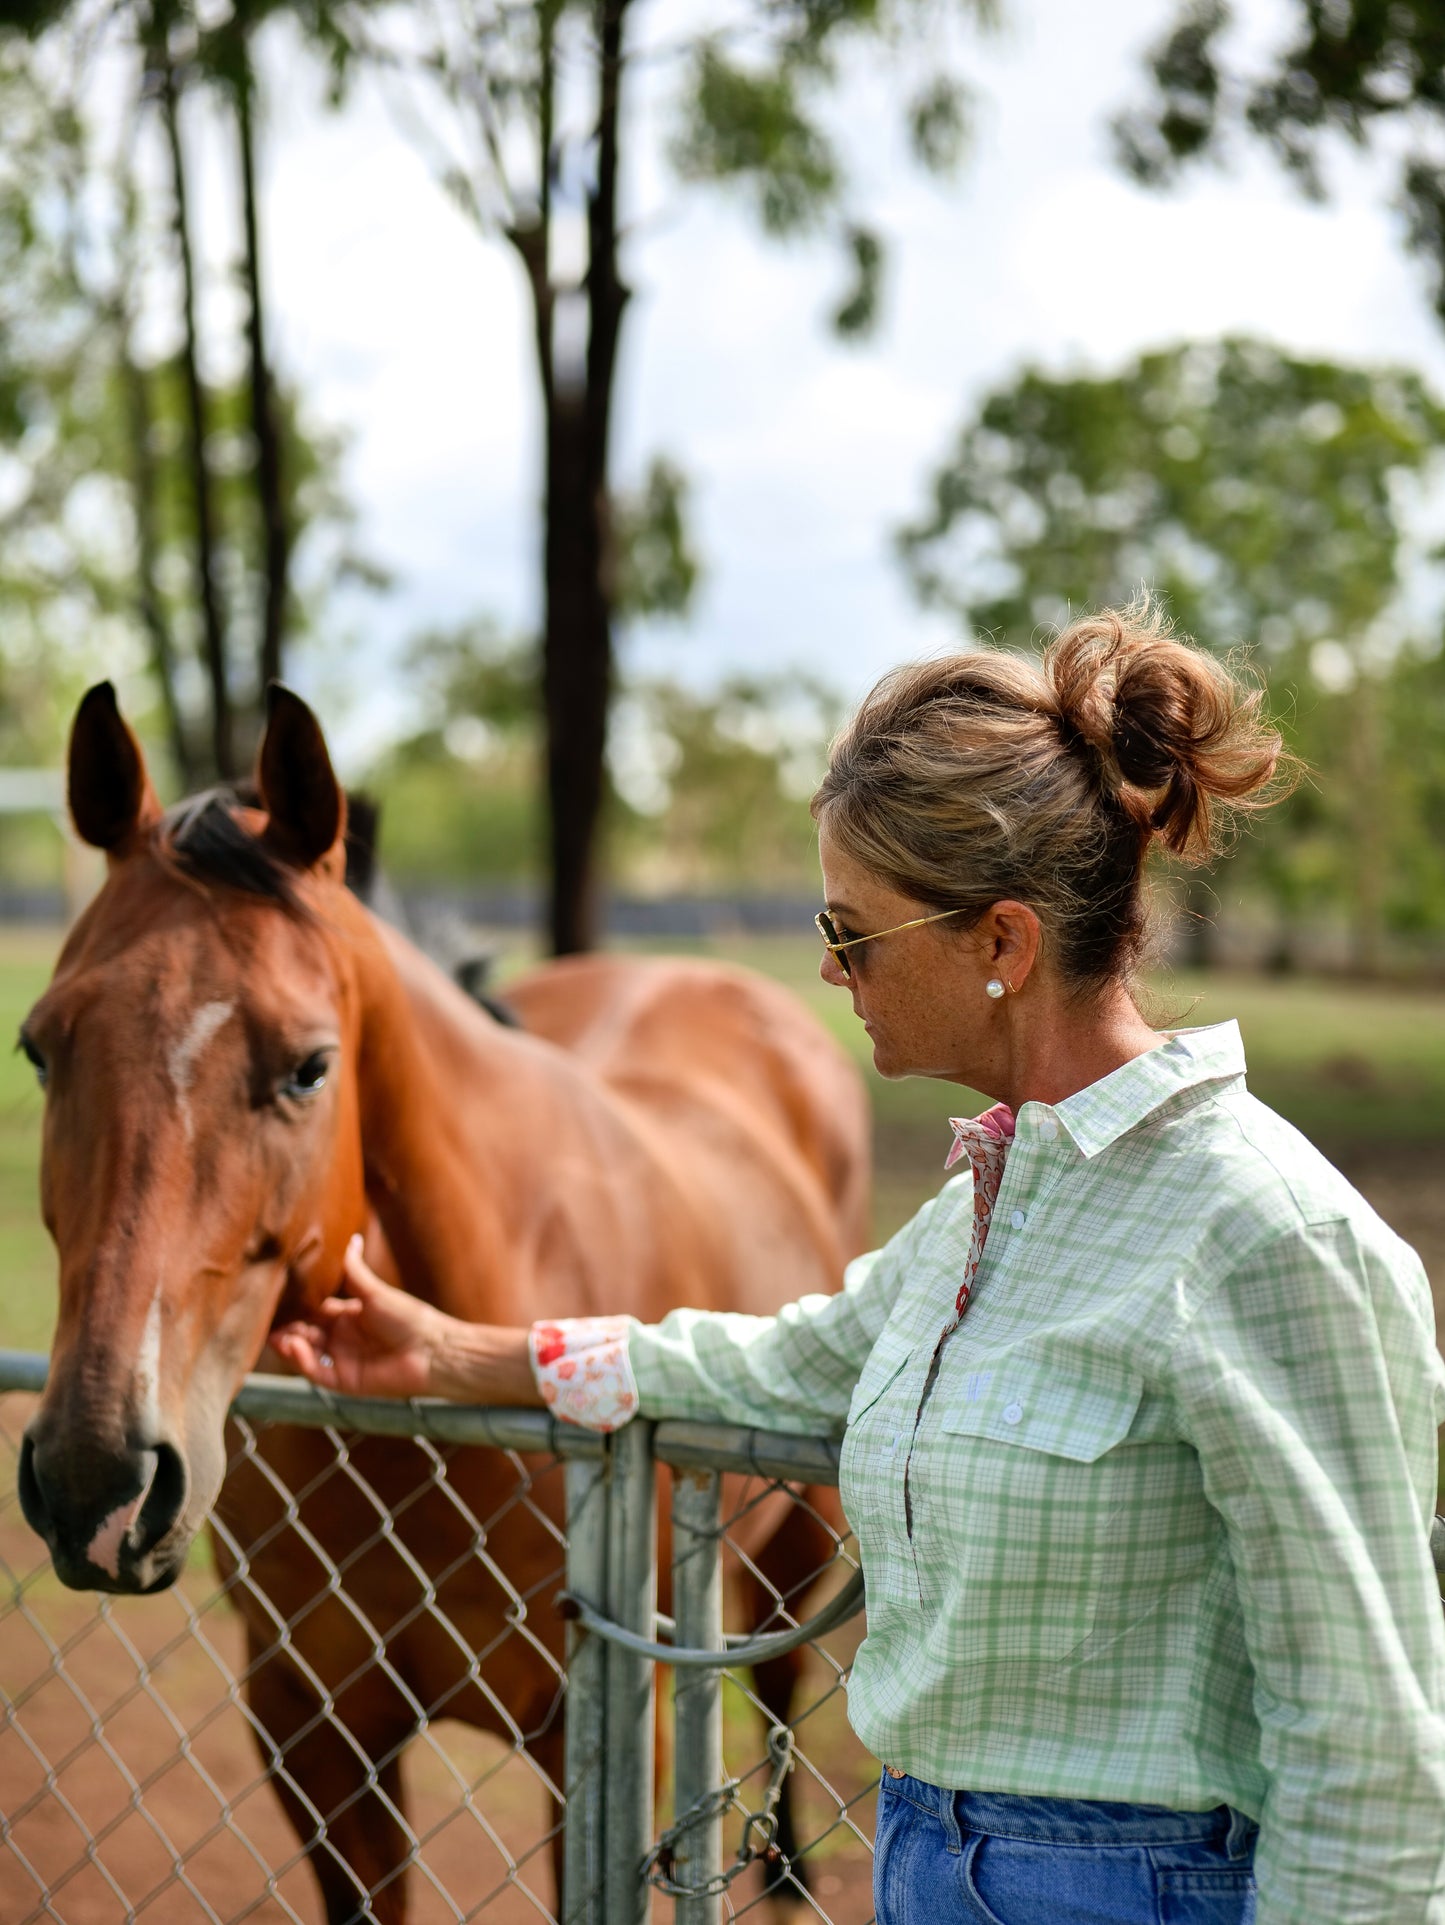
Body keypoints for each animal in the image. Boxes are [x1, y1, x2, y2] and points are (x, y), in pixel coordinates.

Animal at [14, 685, 869, 1917]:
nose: (97, 1477)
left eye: (310, 1066)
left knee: (784, 1672)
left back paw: (792, 1864)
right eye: (40, 1050)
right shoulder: (313, 1728)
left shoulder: (604, 1734)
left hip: (802, 1531)